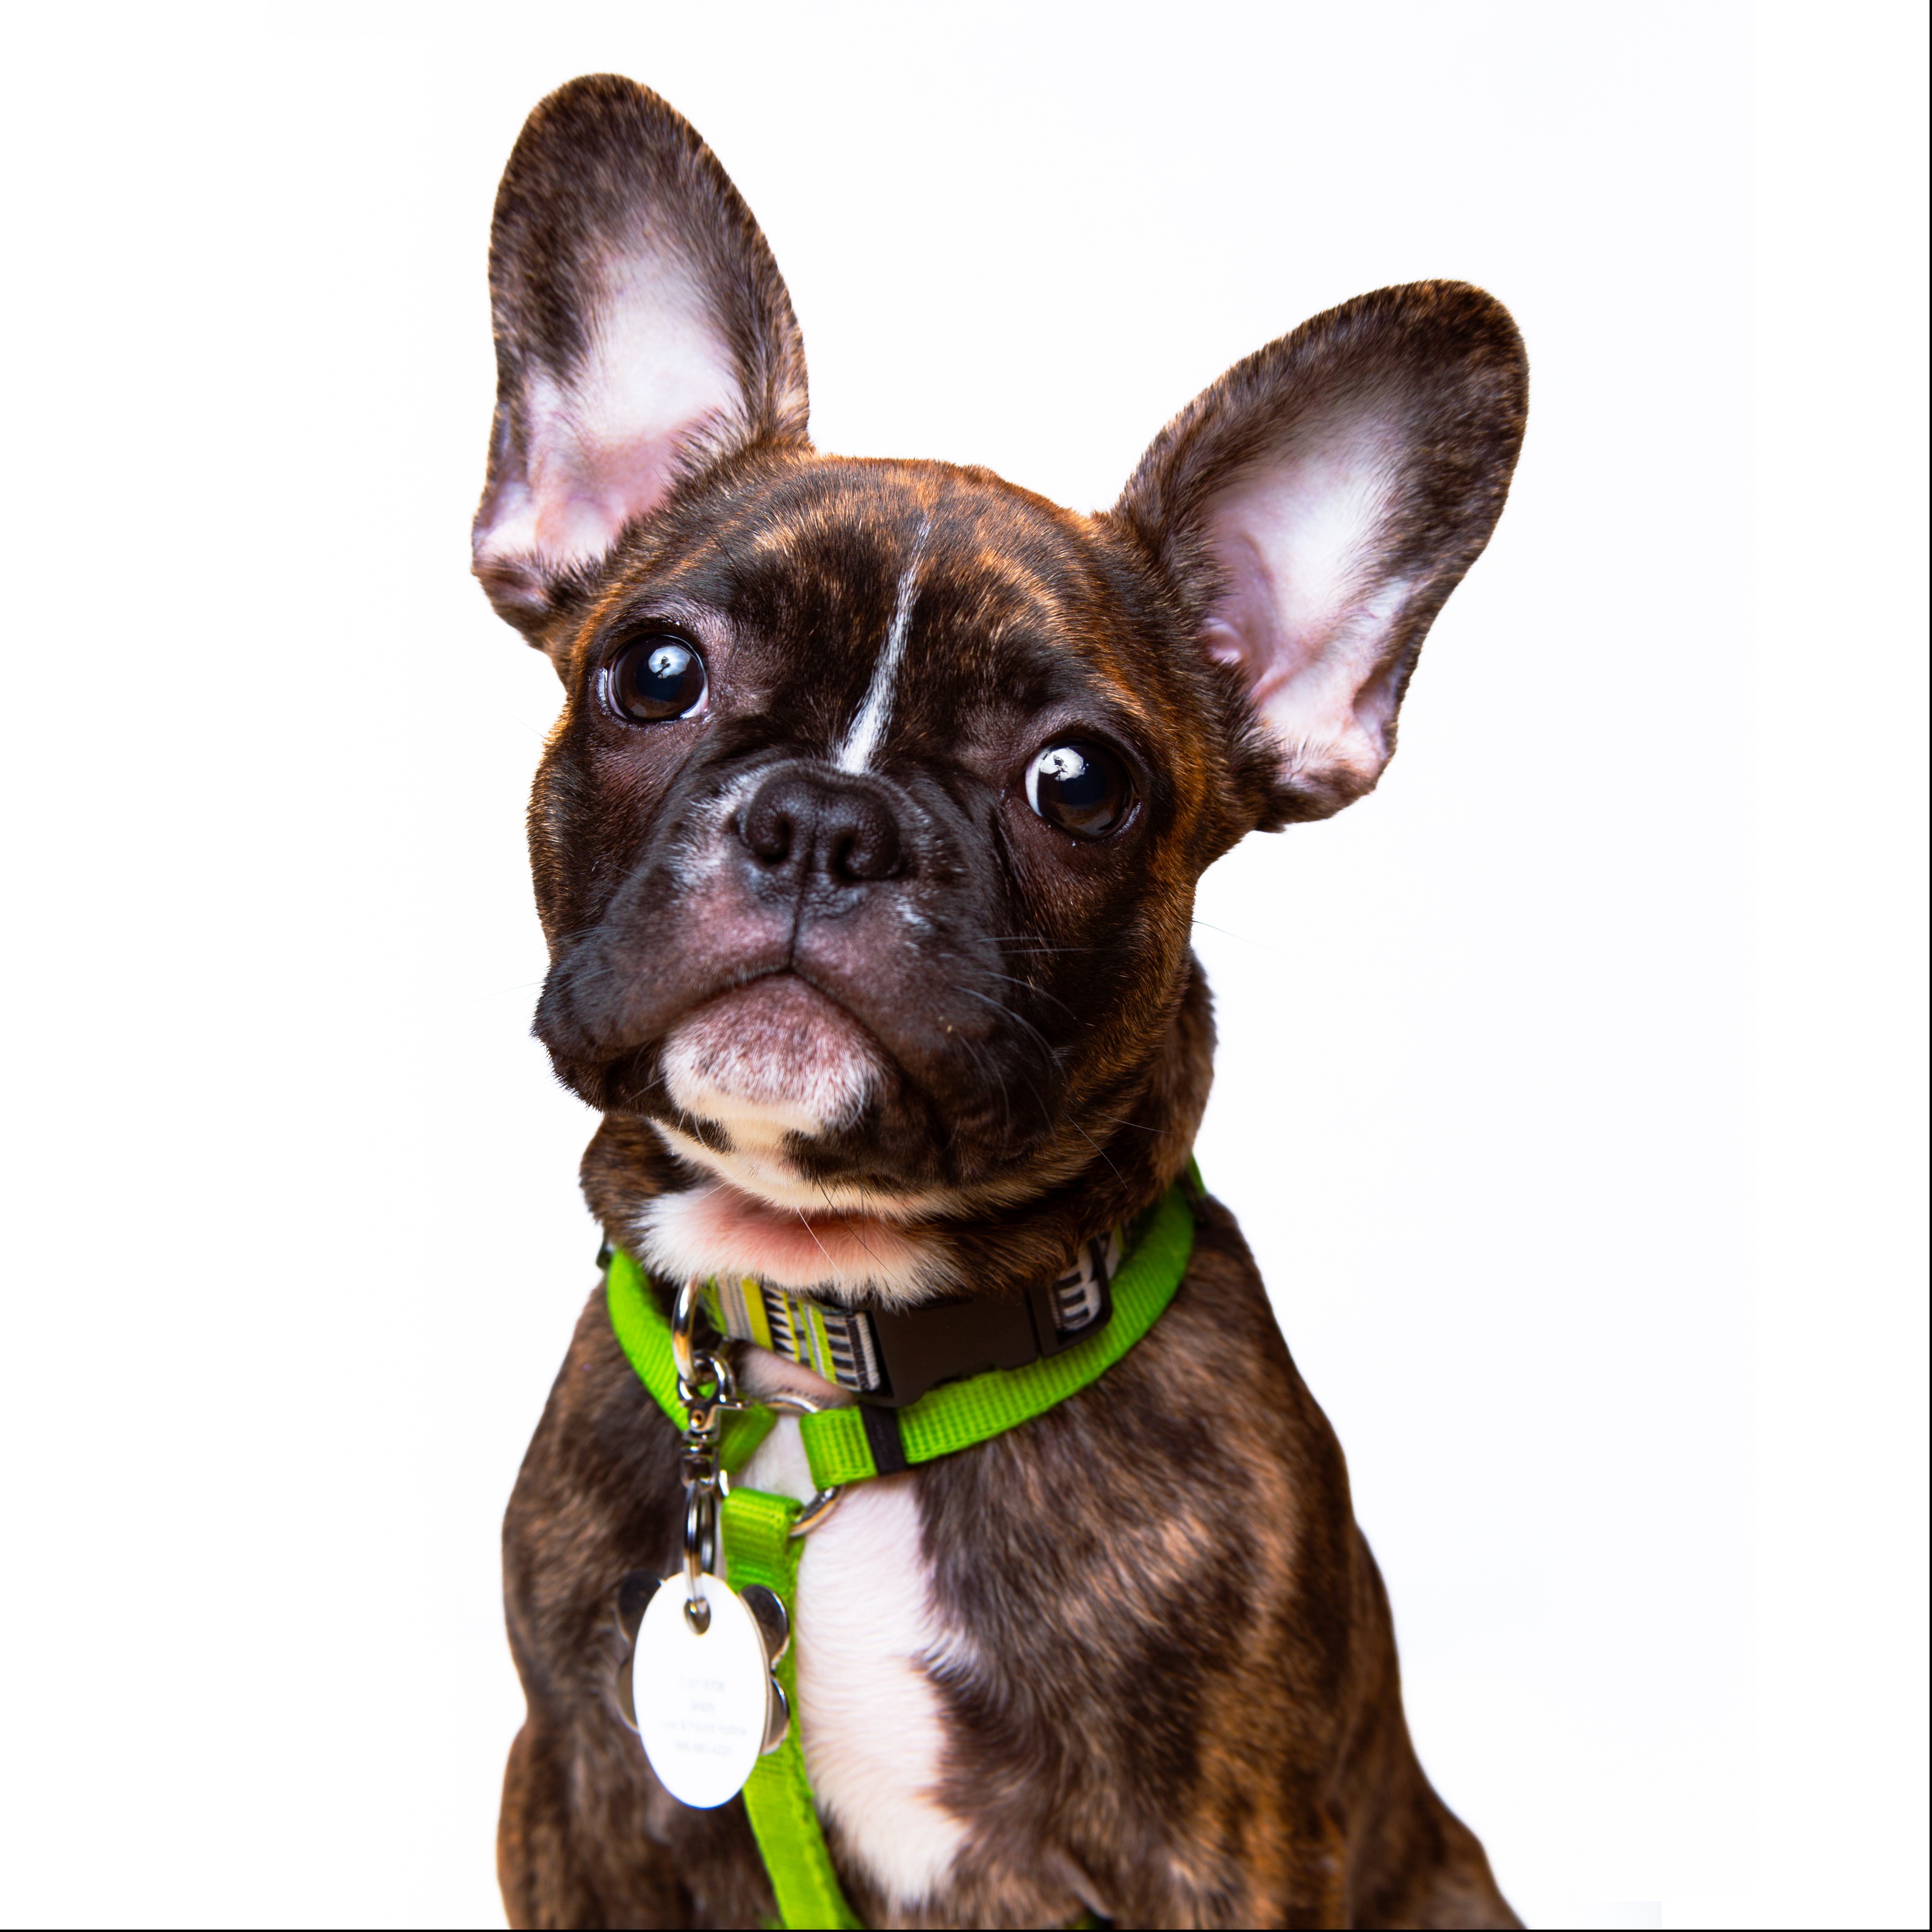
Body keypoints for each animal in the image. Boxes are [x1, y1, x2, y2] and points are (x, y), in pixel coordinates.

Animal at [479, 71, 1522, 1932]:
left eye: (1079, 783)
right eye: (651, 673)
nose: (823, 820)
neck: (825, 1378)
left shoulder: (1222, 1848)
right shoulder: (581, 1798)